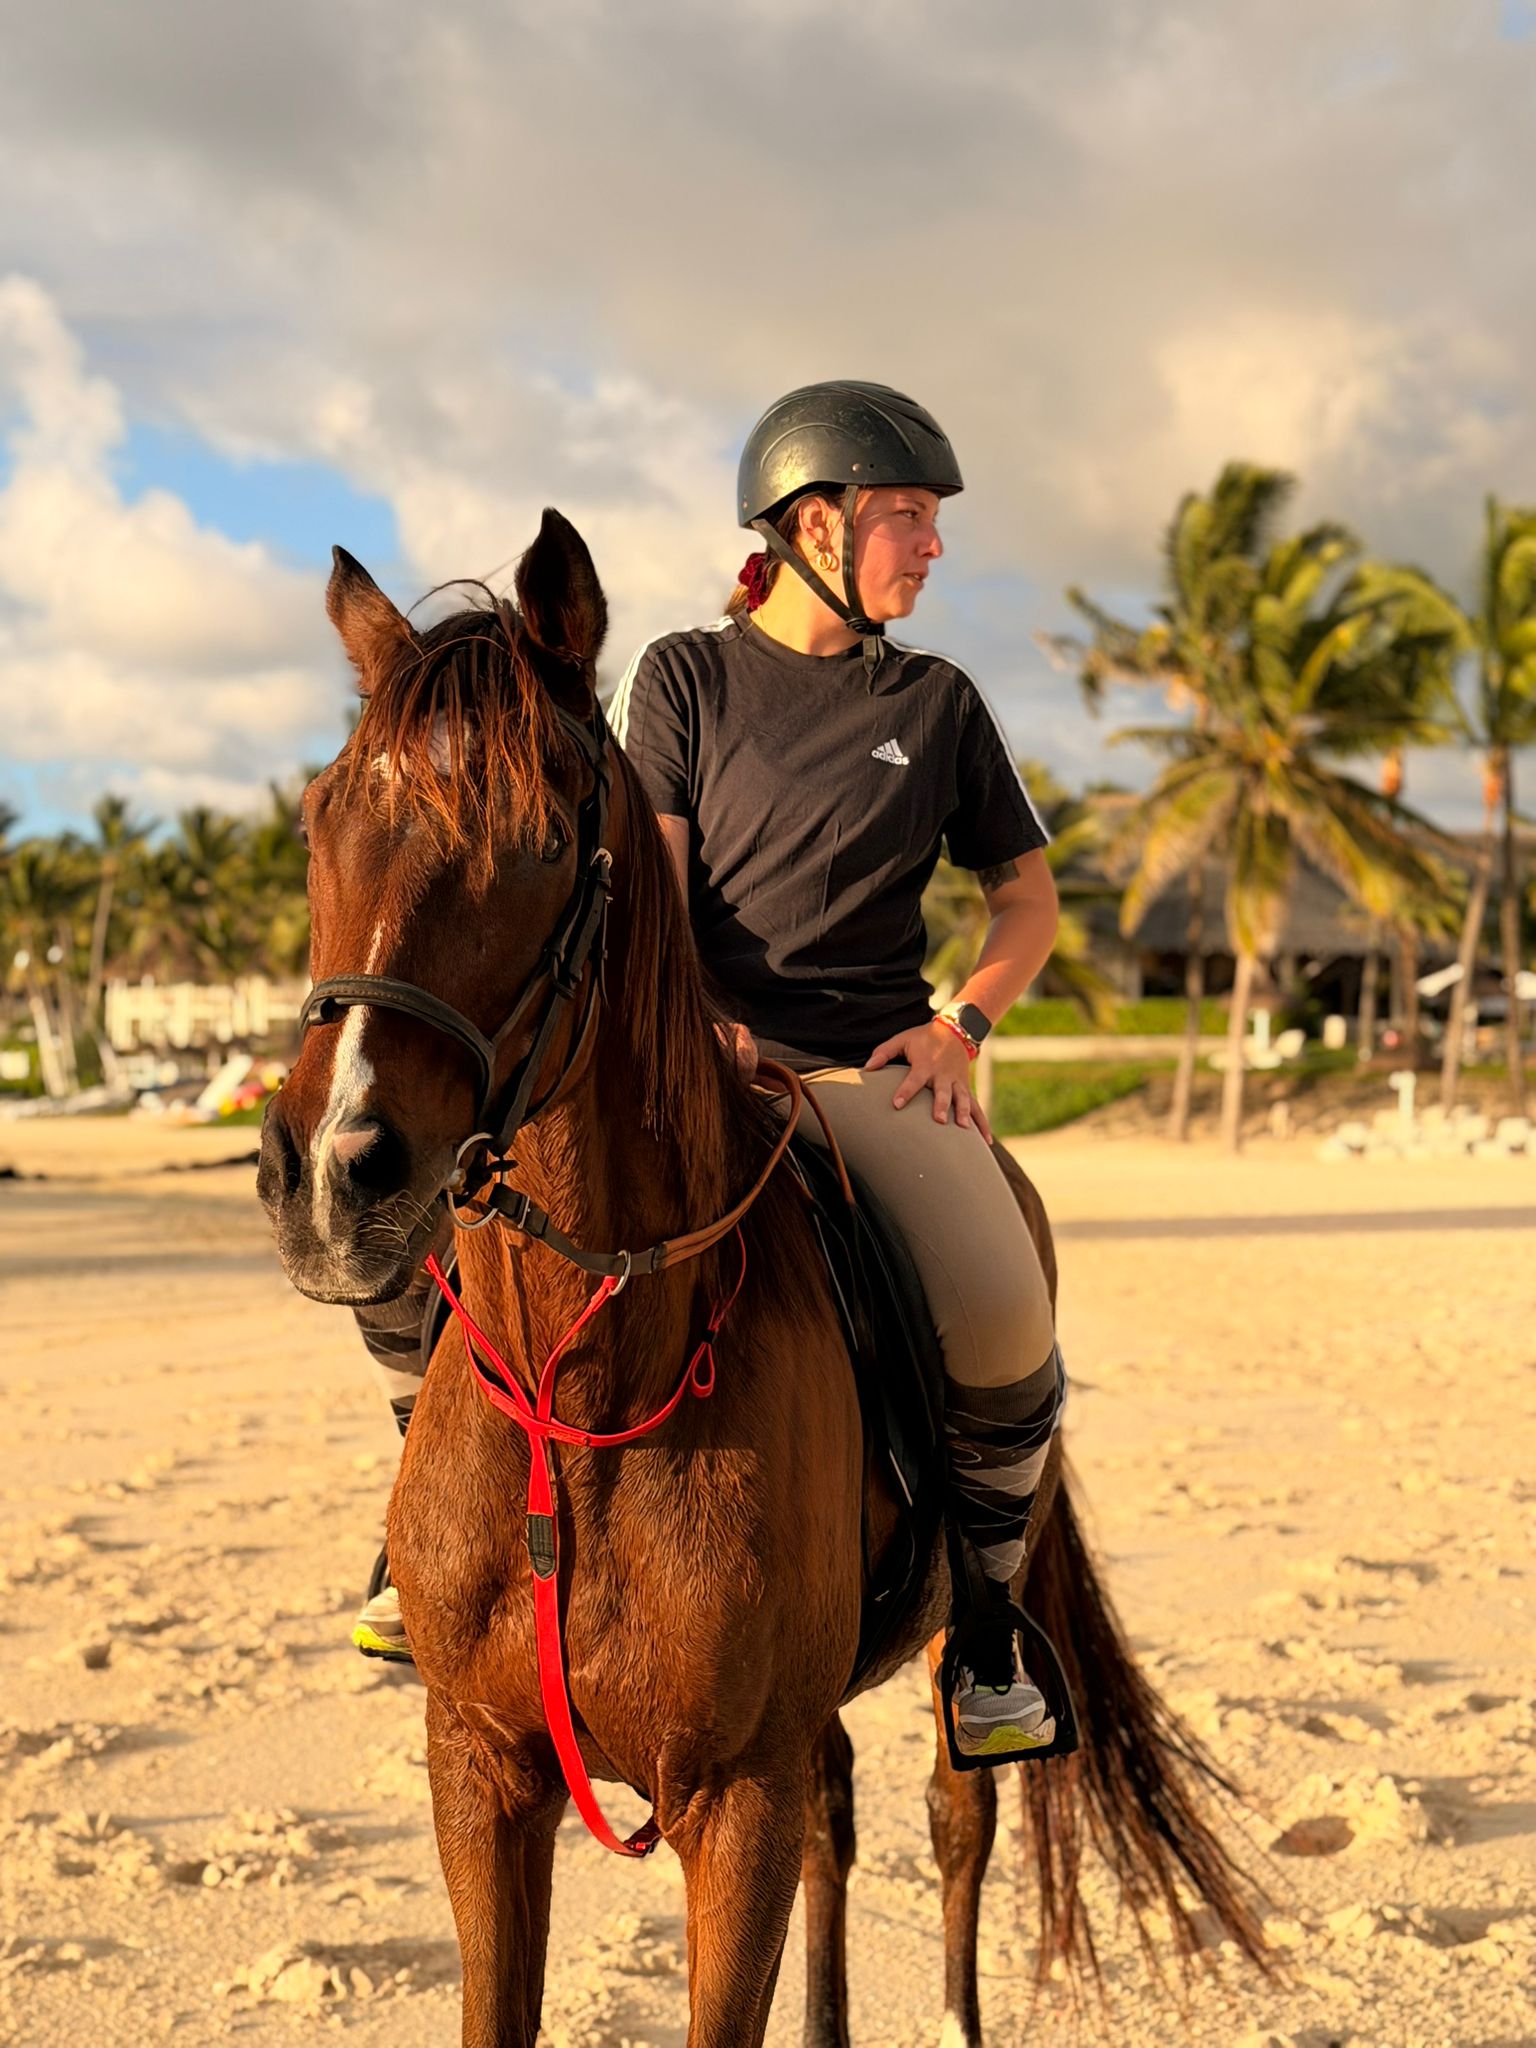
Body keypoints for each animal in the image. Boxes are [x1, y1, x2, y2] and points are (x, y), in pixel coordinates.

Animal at [257, 509, 1266, 2047]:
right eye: (322, 825)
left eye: (543, 840)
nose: (328, 1171)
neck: (587, 1398)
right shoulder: (480, 1774)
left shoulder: (733, 1805)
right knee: (841, 1816)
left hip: (946, 1642)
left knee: (954, 1815)